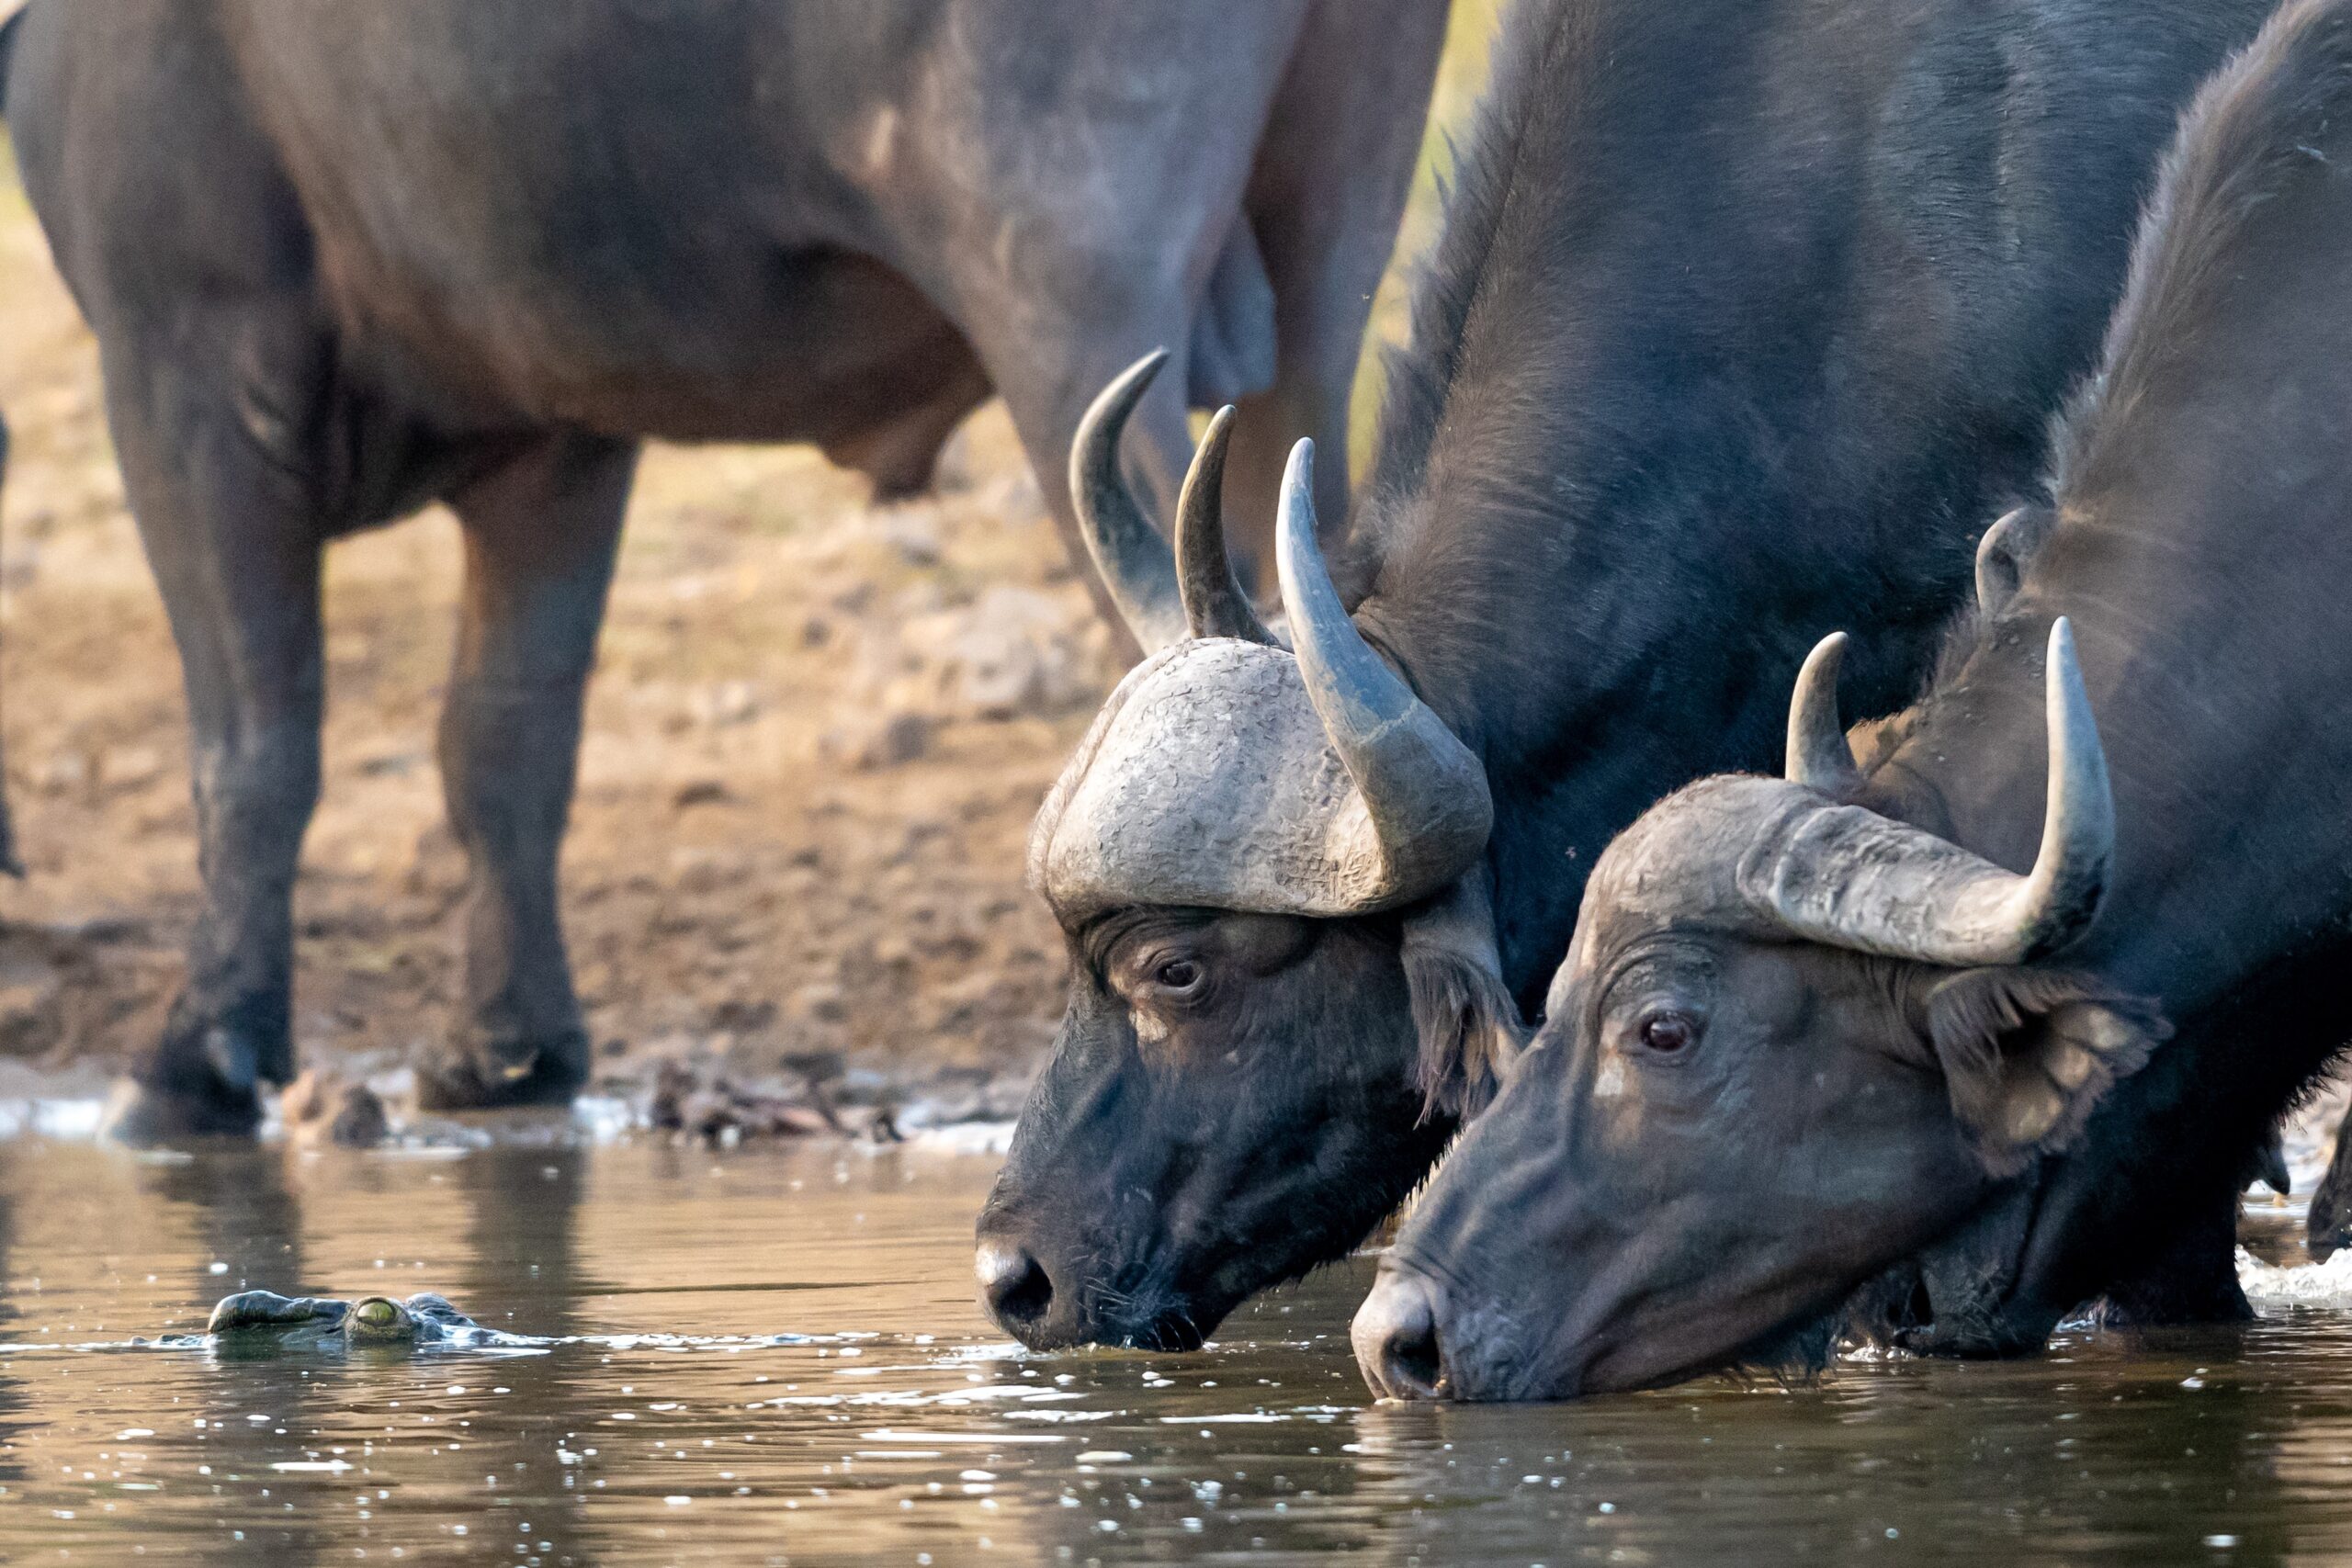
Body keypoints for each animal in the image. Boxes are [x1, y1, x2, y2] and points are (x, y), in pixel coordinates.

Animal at [0, 0, 1448, 1128]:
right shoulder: (557, 441)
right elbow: (505, 741)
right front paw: (508, 1048)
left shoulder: (184, 363)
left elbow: (251, 738)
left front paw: (194, 1056)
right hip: (1321, 275)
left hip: (1071, 293)